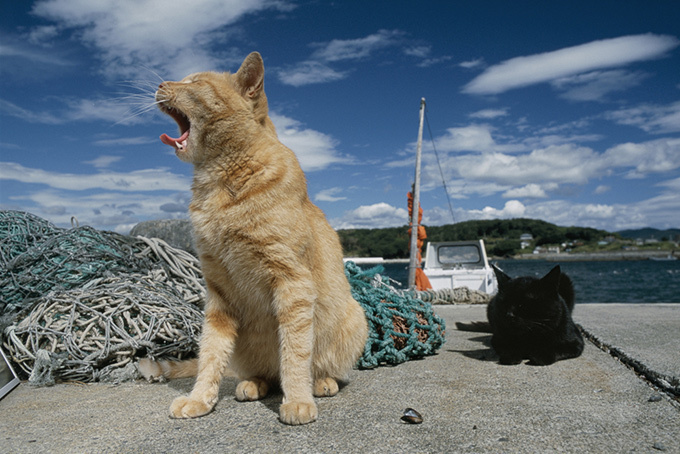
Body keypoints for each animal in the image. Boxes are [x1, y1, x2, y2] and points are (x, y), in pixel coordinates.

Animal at [147, 53, 366, 426]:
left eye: (194, 82)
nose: (161, 84)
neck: (219, 183)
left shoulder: (293, 282)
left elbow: (295, 352)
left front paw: (298, 400)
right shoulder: (218, 293)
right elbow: (210, 353)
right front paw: (200, 399)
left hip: (355, 317)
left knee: (319, 367)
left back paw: (321, 382)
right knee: (264, 373)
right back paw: (254, 383)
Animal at [460, 266, 588, 366]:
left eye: (523, 304)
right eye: (504, 303)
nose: (509, 314)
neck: (529, 337)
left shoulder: (575, 342)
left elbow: (556, 347)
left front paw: (540, 355)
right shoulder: (497, 339)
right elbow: (508, 346)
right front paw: (512, 356)